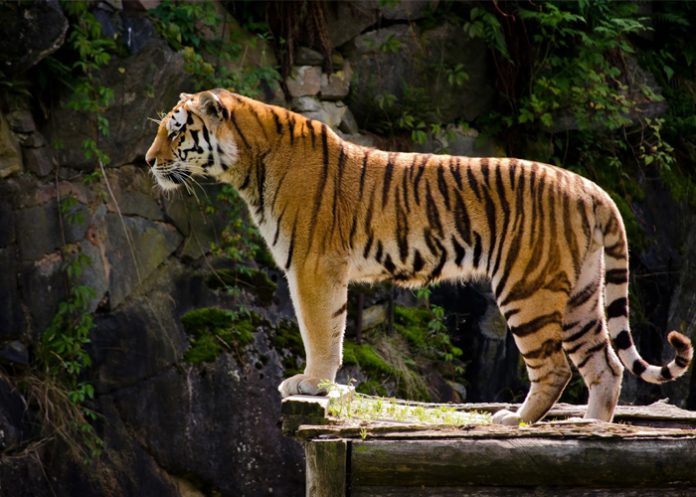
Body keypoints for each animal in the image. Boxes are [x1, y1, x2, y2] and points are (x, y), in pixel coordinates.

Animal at [145, 88, 693, 425]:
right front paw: (319, 382)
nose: (148, 161)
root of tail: (590, 187)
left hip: (527, 289)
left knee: (557, 367)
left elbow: (320, 330)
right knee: (607, 366)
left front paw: (311, 383)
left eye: (175, 131)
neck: (248, 164)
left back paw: (515, 420)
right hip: (580, 293)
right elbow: (332, 328)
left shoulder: (313, 266)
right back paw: (593, 427)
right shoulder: (322, 268)